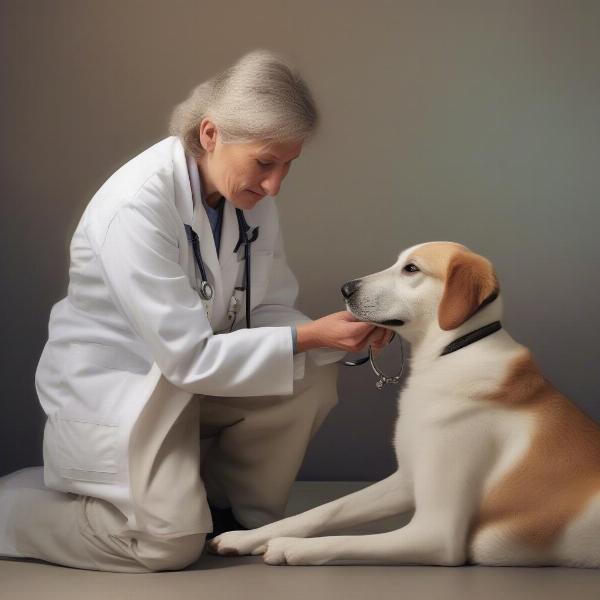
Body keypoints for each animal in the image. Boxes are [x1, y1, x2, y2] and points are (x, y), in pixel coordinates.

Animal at [210, 243, 600, 568]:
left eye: (411, 269)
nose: (346, 288)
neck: (451, 352)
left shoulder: (437, 535)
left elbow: (348, 539)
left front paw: (289, 546)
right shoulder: (405, 480)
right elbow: (326, 510)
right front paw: (247, 536)